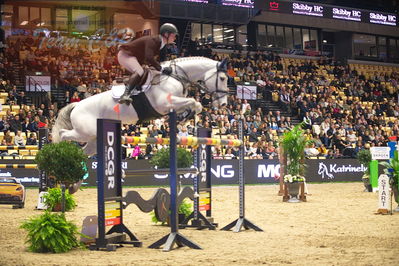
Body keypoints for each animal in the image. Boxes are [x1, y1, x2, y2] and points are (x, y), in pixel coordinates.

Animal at [51, 57, 230, 155]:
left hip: (93, 138)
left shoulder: (172, 104)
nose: (223, 104)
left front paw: (184, 117)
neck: (175, 76)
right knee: (63, 134)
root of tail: (76, 106)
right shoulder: (164, 103)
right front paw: (185, 117)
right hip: (85, 132)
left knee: (84, 151)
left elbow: (193, 105)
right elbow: (195, 102)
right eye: (222, 78)